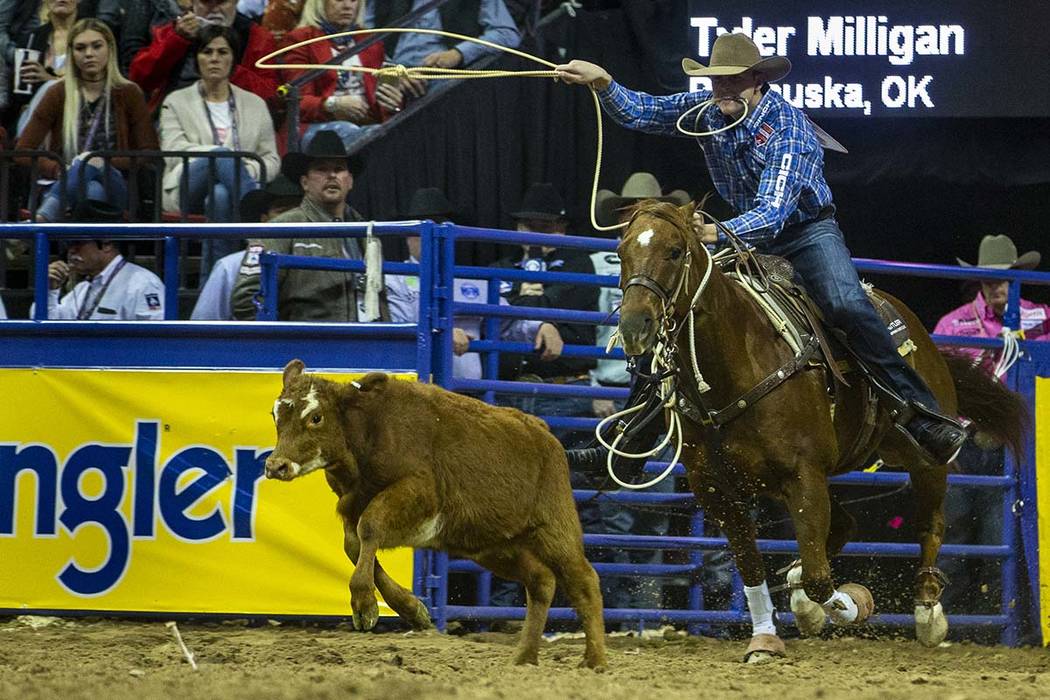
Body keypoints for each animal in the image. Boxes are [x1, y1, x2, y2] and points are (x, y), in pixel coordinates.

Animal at [262, 361, 609, 667]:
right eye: (275, 414)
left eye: (316, 417)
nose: (276, 466)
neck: (370, 432)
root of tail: (546, 435)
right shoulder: (352, 505)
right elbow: (354, 545)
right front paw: (411, 608)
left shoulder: (418, 492)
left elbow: (369, 529)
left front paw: (365, 604)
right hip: (495, 546)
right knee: (541, 581)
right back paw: (525, 657)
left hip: (553, 531)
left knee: (584, 581)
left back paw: (594, 660)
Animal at [613, 199, 1024, 659]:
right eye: (622, 251)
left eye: (675, 251)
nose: (635, 327)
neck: (735, 363)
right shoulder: (718, 490)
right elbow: (754, 567)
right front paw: (766, 638)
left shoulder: (802, 475)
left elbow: (819, 578)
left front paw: (853, 605)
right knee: (844, 526)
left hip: (921, 457)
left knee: (929, 523)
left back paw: (927, 611)